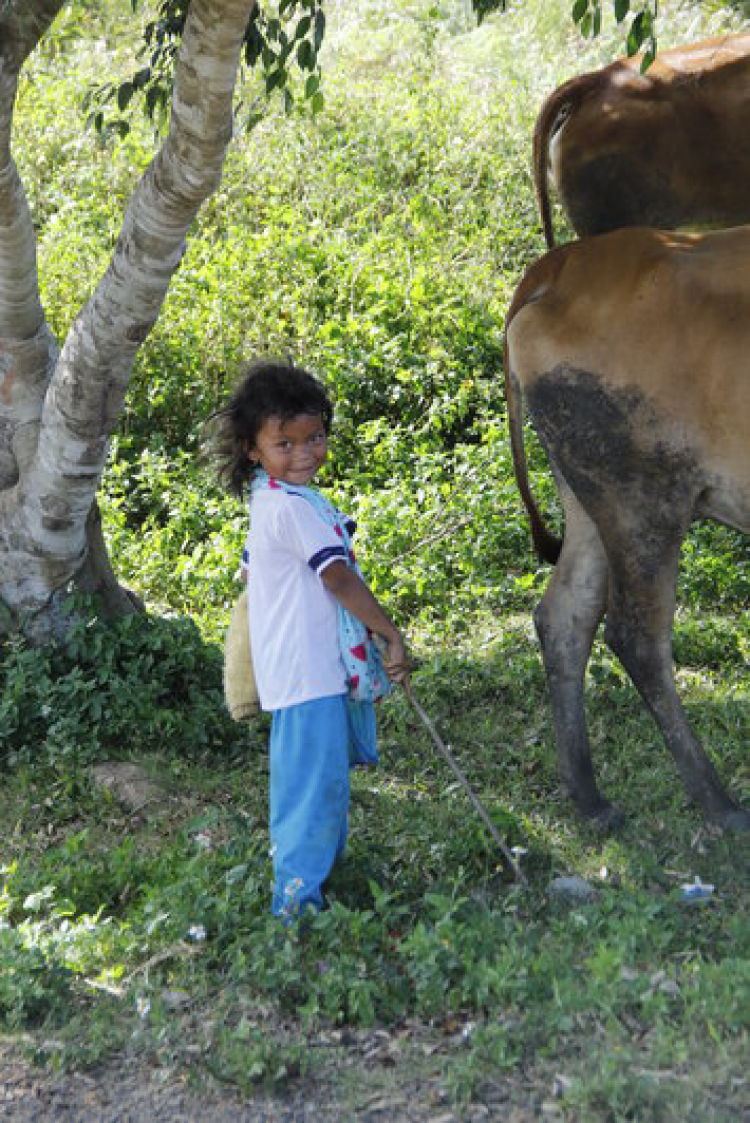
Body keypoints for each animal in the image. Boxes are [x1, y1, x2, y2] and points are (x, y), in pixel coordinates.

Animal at [502, 223, 750, 831]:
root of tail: (562, 265)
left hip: (590, 496)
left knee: (565, 617)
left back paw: (588, 796)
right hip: (644, 498)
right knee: (637, 636)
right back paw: (719, 802)